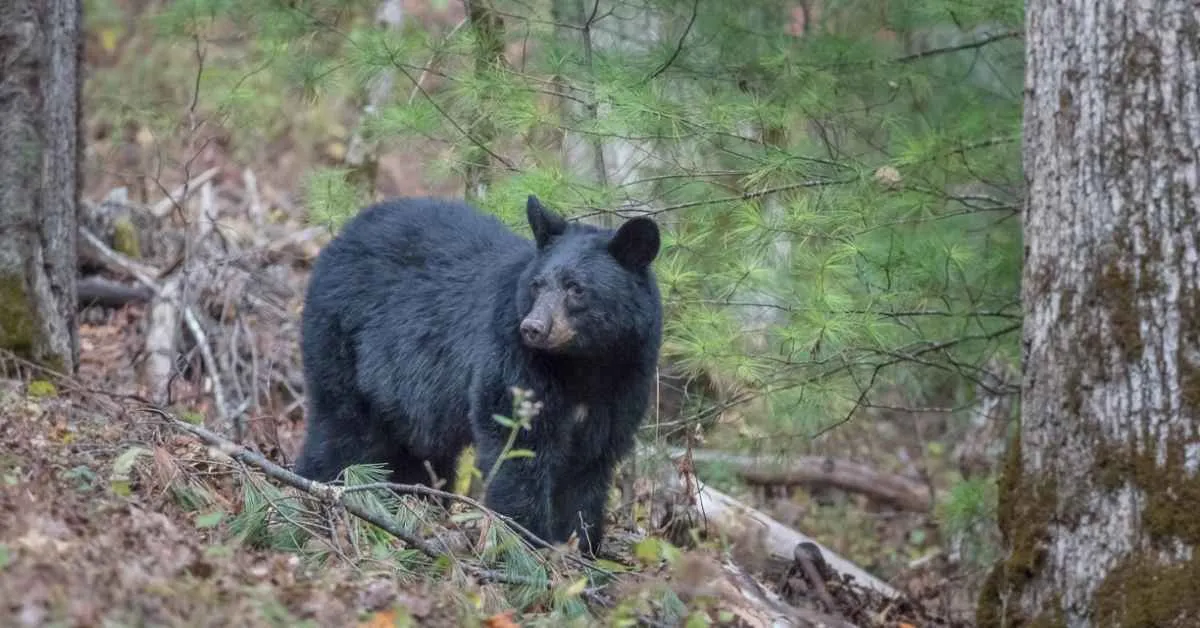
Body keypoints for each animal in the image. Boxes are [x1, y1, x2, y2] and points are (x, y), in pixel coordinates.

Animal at [293, 194, 663, 556]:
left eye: (576, 288)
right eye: (537, 284)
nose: (532, 327)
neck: (583, 363)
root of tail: (340, 237)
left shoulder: (624, 382)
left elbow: (589, 467)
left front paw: (579, 546)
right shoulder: (514, 359)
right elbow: (518, 451)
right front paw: (528, 544)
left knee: (418, 456)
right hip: (340, 350)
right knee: (339, 435)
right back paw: (315, 502)